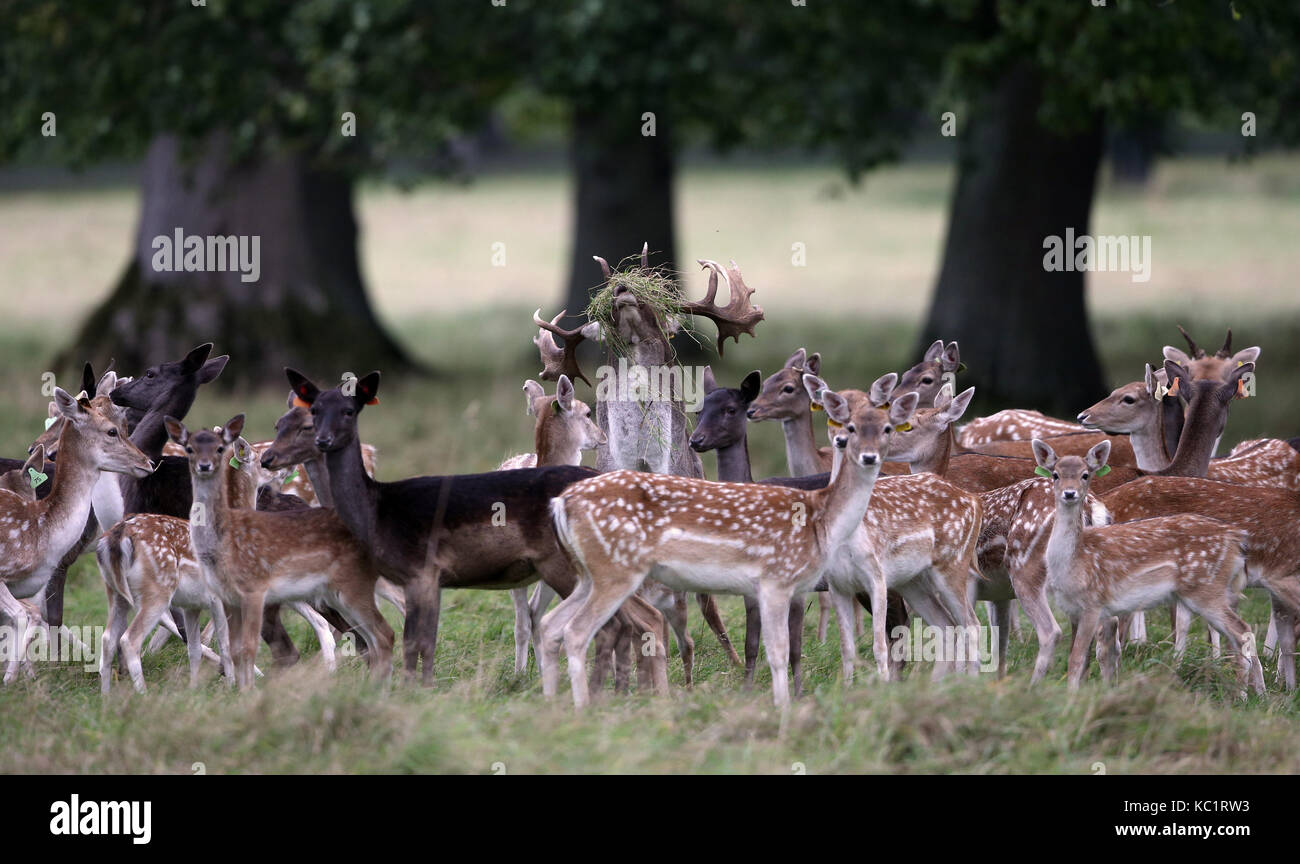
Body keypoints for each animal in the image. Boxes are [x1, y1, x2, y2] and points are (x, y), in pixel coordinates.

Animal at [1029, 439, 1263, 696]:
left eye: (1085, 474)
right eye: (1055, 474)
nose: (1069, 493)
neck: (1073, 562)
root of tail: (1236, 538)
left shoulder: (1093, 604)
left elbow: (1076, 659)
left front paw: (1072, 697)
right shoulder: (1072, 610)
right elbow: (1083, 660)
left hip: (1206, 588)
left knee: (1242, 632)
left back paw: (1241, 695)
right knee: (1240, 634)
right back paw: (1254, 693)